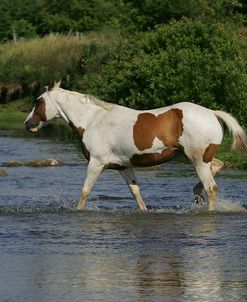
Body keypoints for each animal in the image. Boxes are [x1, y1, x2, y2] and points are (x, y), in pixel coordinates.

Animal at [25, 81, 247, 211]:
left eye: (38, 101)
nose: (28, 124)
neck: (92, 120)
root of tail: (212, 113)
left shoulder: (96, 164)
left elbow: (85, 192)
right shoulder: (124, 167)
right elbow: (136, 193)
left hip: (198, 160)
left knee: (212, 189)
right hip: (199, 158)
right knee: (218, 166)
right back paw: (196, 193)